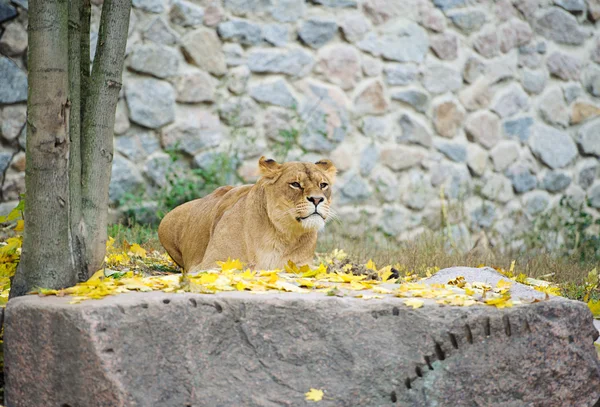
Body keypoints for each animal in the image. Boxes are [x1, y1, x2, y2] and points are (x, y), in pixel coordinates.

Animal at [158, 158, 338, 272]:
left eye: (323, 185)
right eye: (295, 184)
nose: (317, 199)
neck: (281, 235)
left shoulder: (304, 265)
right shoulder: (212, 263)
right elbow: (249, 267)